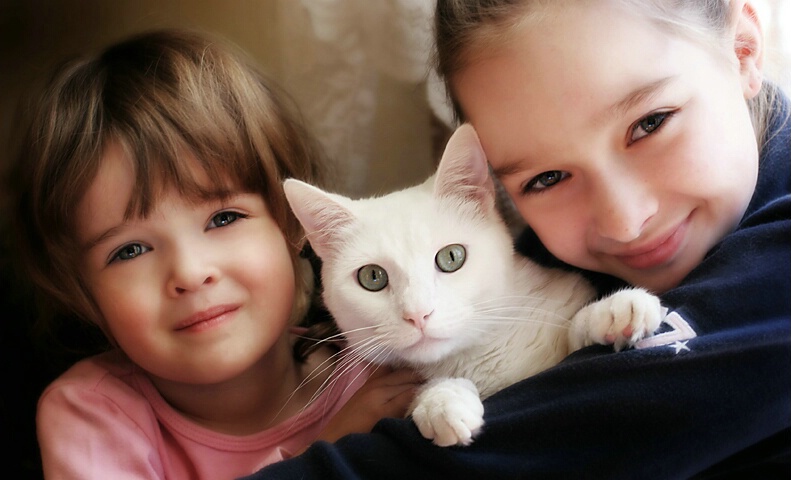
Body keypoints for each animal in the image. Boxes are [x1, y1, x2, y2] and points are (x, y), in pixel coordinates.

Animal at [284, 124, 664, 446]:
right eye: (373, 277)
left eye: (452, 257)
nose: (418, 314)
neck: (477, 354)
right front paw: (440, 401)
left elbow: (570, 331)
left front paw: (614, 311)